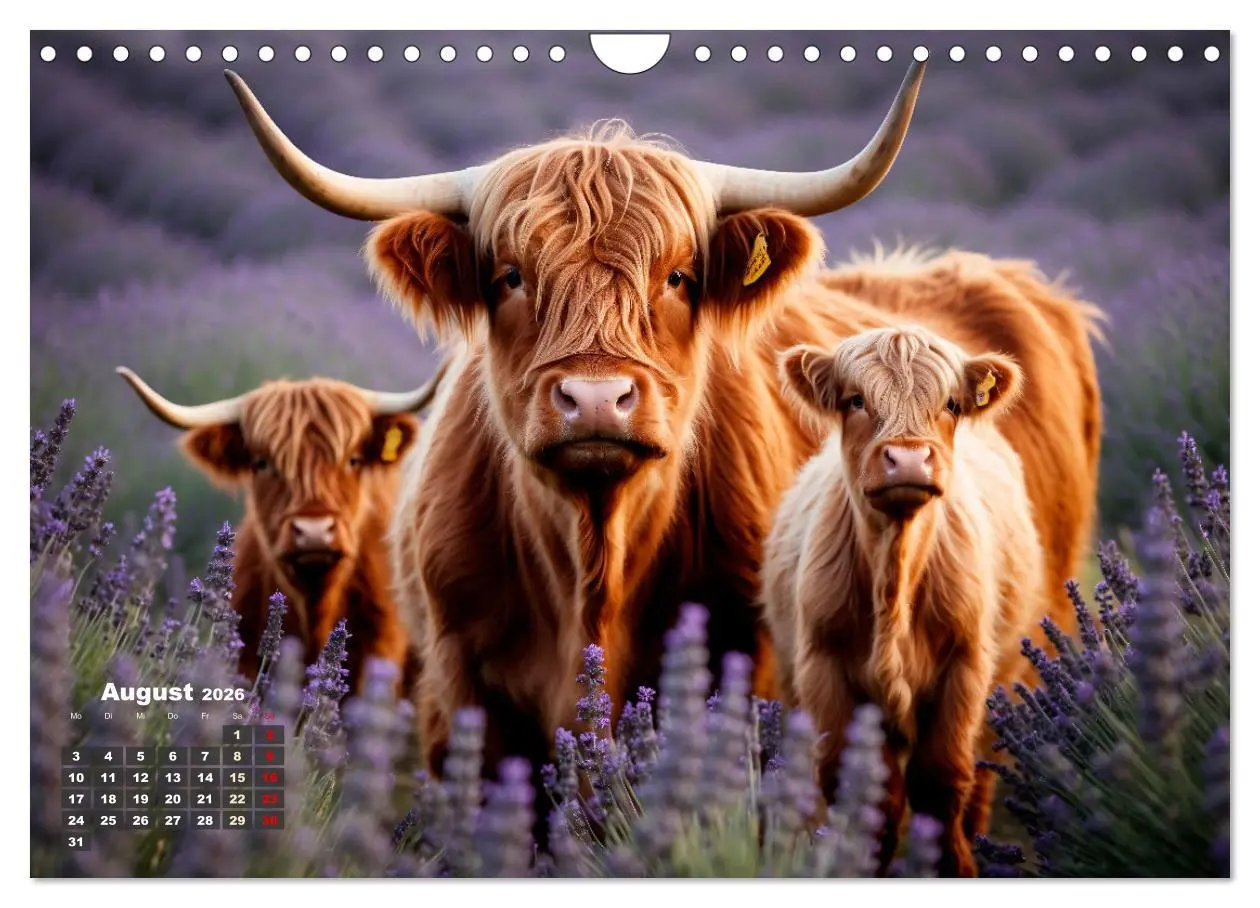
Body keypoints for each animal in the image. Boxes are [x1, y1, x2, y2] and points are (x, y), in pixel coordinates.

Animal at [761, 324, 1045, 877]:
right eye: (855, 400)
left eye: (951, 403)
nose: (909, 458)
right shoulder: (824, 669)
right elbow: (868, 799)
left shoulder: (965, 667)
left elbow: (940, 782)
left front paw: (955, 864)